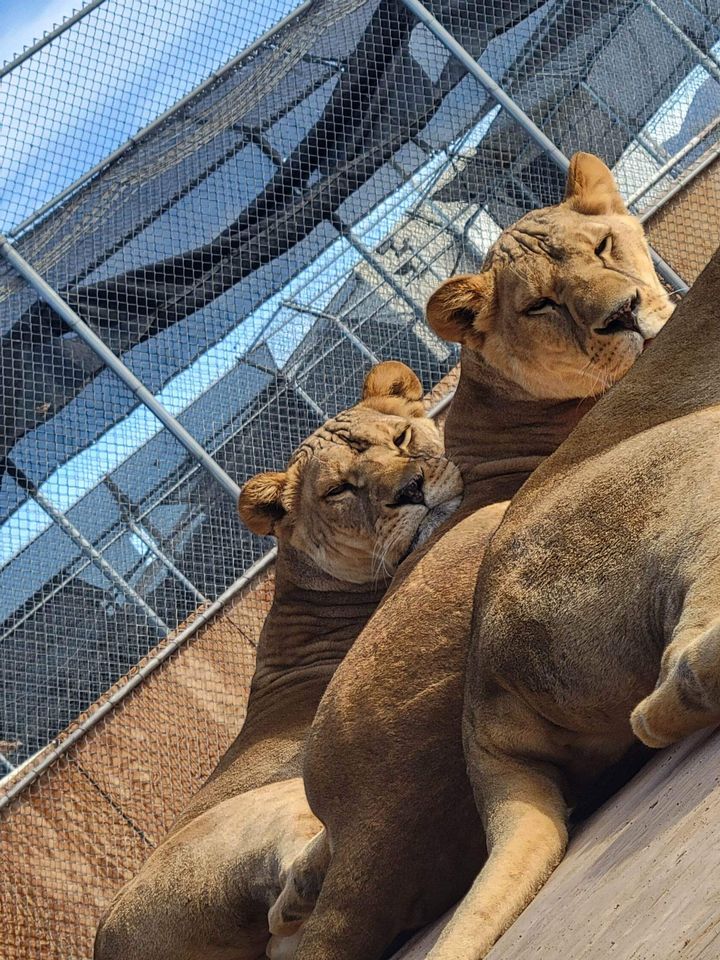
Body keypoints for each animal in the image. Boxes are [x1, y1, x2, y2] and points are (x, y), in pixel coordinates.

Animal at [93, 360, 462, 960]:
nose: (412, 490)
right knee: (302, 877)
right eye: (338, 489)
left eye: (402, 438)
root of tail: (104, 941)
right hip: (257, 817)